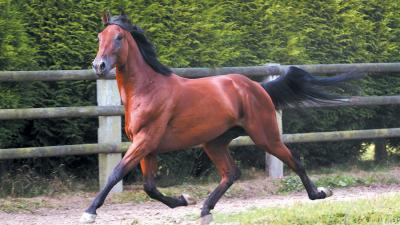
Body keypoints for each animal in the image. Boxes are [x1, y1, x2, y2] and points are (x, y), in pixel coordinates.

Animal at [80, 12, 356, 223]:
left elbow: (116, 173)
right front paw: (184, 199)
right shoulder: (147, 146)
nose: (98, 66)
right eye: (99, 37)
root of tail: (257, 87)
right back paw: (205, 210)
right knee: (231, 173)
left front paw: (89, 212)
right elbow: (149, 187)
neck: (148, 89)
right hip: (214, 142)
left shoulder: (145, 140)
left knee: (294, 160)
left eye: (118, 37)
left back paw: (320, 194)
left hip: (265, 136)